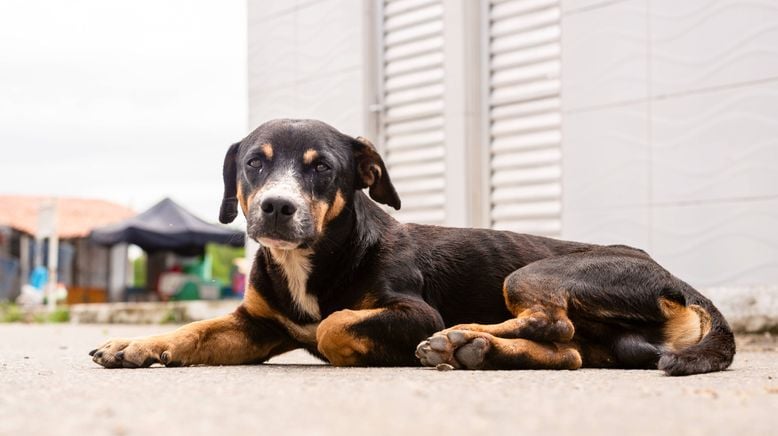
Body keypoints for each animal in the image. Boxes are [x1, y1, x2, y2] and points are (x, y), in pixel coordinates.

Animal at [91, 118, 732, 374]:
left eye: (321, 168)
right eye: (255, 163)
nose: (276, 207)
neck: (318, 258)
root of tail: (676, 278)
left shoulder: (412, 310)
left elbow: (334, 325)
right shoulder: (255, 325)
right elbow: (194, 331)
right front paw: (137, 344)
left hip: (536, 274)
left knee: (554, 323)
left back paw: (461, 338)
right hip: (603, 341)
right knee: (569, 351)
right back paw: (477, 350)